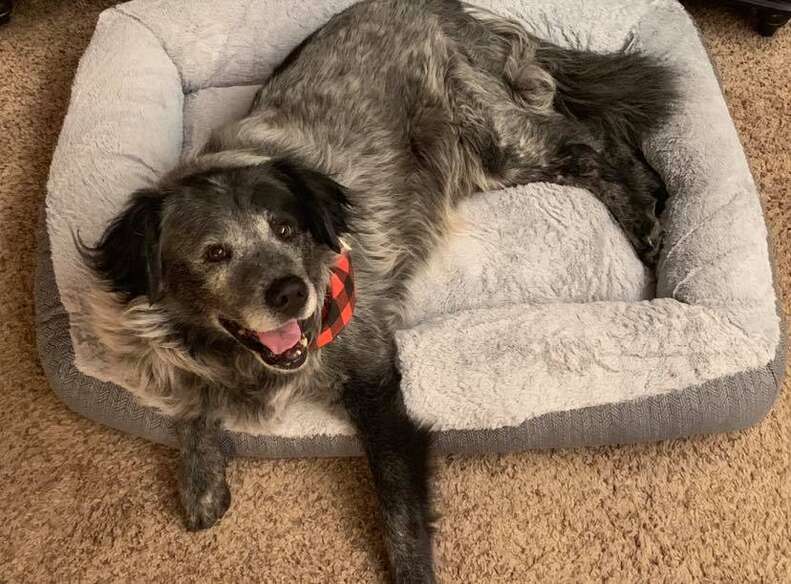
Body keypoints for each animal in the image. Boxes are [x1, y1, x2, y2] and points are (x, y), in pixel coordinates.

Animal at [79, 2, 676, 580]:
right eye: (214, 254)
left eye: (286, 229)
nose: (292, 294)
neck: (242, 364)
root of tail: (447, 10)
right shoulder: (173, 358)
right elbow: (190, 403)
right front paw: (200, 480)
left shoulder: (375, 383)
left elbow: (400, 513)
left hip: (499, 144)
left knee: (592, 142)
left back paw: (645, 214)